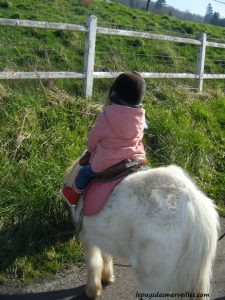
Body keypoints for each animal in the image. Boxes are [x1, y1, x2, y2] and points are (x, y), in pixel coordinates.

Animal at [63, 158, 218, 298]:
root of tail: (195, 207)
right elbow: (105, 255)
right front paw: (107, 278)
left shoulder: (87, 237)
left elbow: (94, 262)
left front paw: (92, 290)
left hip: (151, 276)